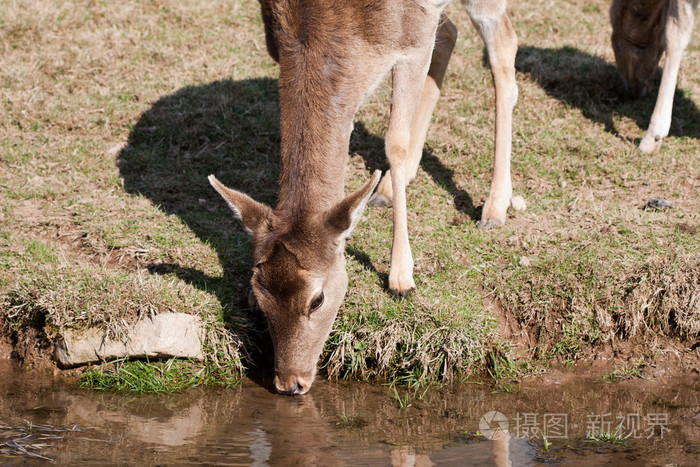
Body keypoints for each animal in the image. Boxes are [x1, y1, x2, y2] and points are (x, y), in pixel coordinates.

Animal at [208, 0, 520, 394]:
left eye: (317, 300)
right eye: (260, 298)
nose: (290, 382)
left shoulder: (413, 38)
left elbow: (395, 142)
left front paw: (401, 278)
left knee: (503, 45)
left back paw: (494, 208)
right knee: (451, 34)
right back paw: (385, 190)